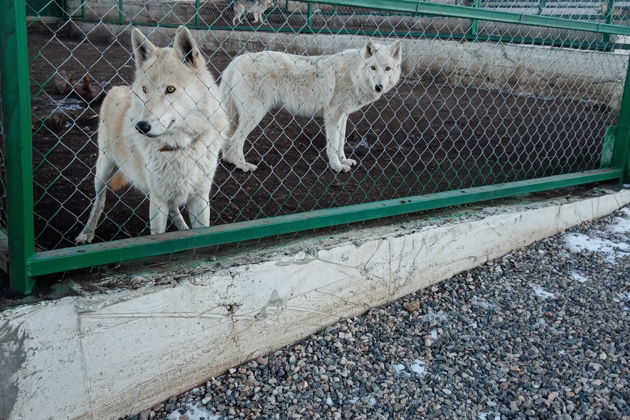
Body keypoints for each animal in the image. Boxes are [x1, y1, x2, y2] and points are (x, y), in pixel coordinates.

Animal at [76, 26, 230, 243]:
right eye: (145, 90)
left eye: (170, 89)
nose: (141, 126)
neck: (178, 148)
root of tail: (117, 87)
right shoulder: (158, 201)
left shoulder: (200, 198)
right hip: (103, 170)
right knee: (99, 200)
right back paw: (87, 232)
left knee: (174, 208)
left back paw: (183, 228)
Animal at [220, 38, 402, 172]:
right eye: (373, 68)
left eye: (387, 69)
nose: (379, 87)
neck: (353, 74)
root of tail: (235, 61)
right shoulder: (332, 116)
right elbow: (332, 145)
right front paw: (337, 167)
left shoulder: (343, 116)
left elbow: (341, 142)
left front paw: (344, 161)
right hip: (255, 114)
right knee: (235, 140)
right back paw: (242, 165)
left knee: (228, 141)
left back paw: (230, 162)